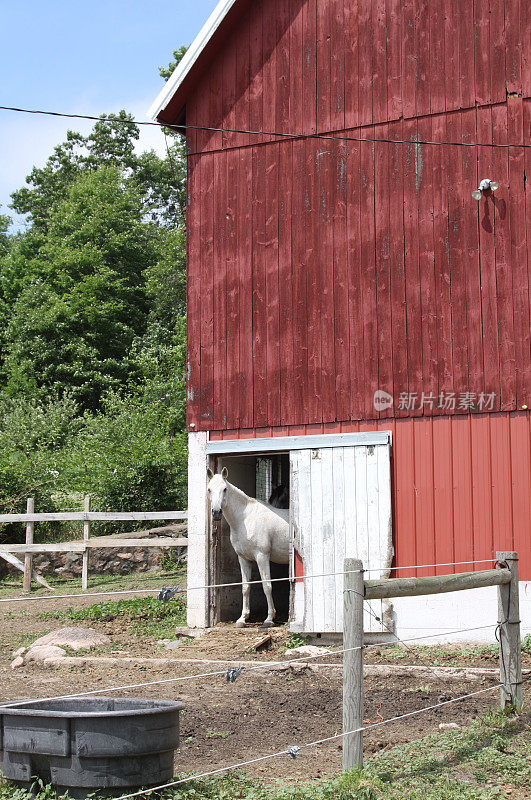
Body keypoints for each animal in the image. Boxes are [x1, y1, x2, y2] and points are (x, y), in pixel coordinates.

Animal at [208, 466, 290, 628]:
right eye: (209, 489)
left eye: (225, 489)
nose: (216, 512)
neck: (245, 519)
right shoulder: (243, 558)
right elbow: (245, 587)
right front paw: (242, 619)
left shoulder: (262, 556)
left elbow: (267, 586)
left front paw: (269, 619)